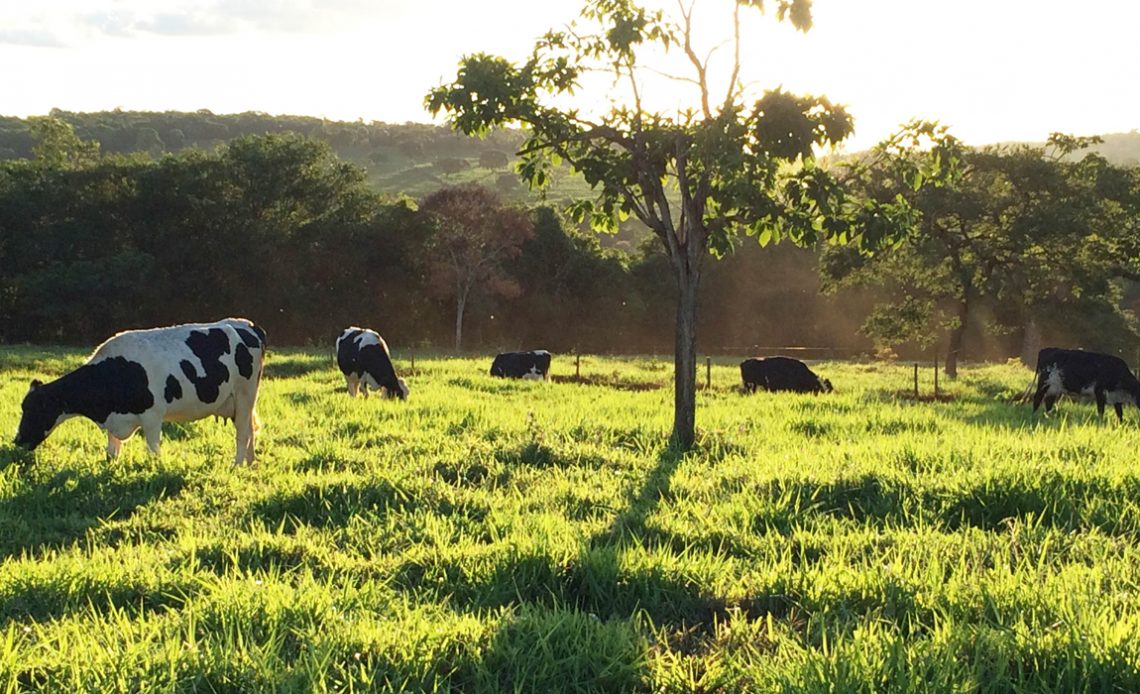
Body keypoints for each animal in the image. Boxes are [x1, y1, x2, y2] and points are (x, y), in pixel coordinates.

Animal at [15, 316, 266, 462]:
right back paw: (250, 464)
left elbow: (153, 451)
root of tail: (248, 324)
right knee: (251, 429)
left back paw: (237, 465)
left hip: (245, 395)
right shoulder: (115, 419)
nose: (17, 441)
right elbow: (111, 453)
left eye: (36, 409)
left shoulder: (152, 416)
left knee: (243, 433)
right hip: (239, 402)